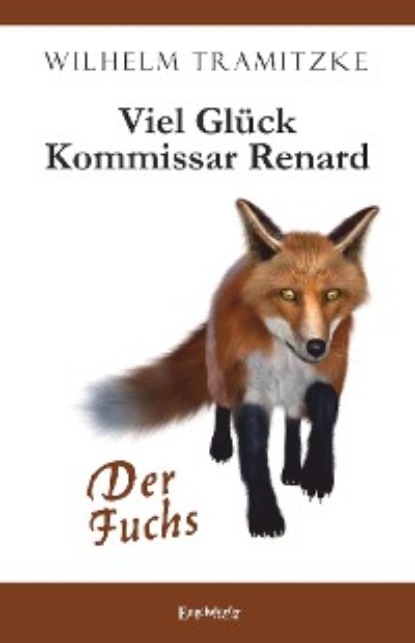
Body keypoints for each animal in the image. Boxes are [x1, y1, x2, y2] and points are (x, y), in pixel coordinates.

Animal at [90, 199, 378, 537]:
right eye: (288, 294)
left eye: (332, 294)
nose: (317, 346)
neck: (287, 362)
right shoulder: (251, 388)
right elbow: (254, 458)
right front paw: (265, 514)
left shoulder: (328, 374)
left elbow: (324, 412)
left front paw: (316, 473)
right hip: (221, 373)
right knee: (221, 405)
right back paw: (221, 445)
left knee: (292, 421)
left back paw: (292, 468)